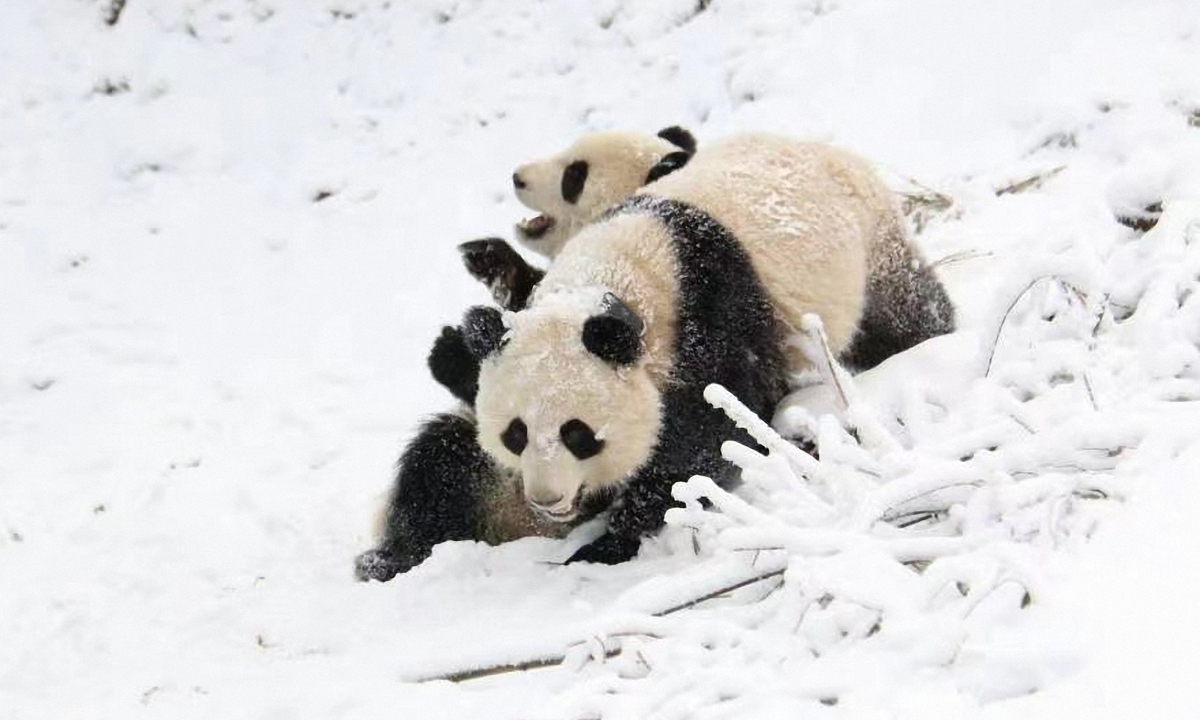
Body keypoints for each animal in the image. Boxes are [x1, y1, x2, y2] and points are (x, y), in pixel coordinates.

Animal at [350, 127, 950, 578]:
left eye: (577, 434)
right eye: (515, 434)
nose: (547, 499)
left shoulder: (711, 320)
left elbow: (706, 441)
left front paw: (605, 545)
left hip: (872, 247)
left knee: (905, 312)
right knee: (438, 467)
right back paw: (387, 560)